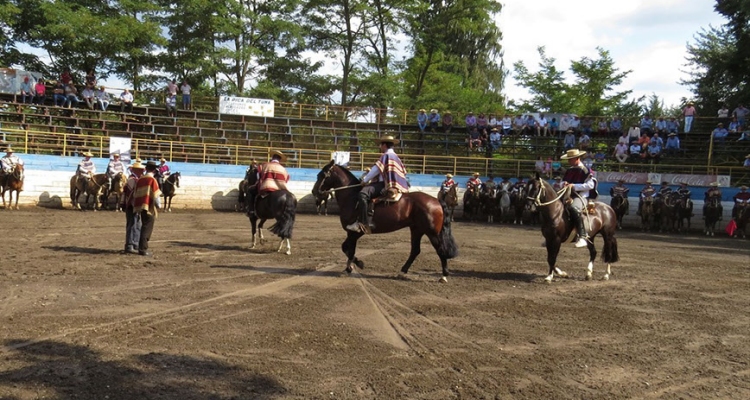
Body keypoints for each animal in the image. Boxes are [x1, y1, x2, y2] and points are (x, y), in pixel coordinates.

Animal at [312, 161, 458, 282]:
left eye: (322, 175)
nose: (314, 191)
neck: (352, 197)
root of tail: (436, 201)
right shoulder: (353, 233)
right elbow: (348, 249)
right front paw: (350, 267)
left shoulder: (355, 232)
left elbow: (348, 249)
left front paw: (355, 265)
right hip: (417, 230)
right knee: (415, 250)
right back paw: (402, 271)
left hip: (432, 233)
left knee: (440, 250)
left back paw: (444, 276)